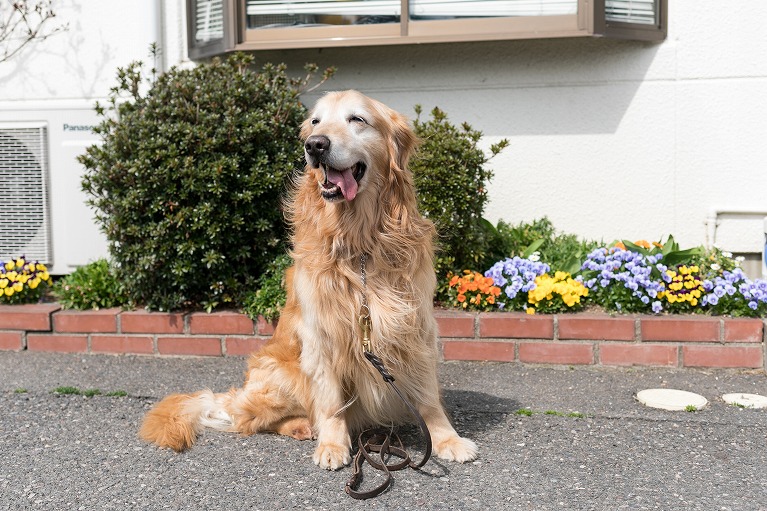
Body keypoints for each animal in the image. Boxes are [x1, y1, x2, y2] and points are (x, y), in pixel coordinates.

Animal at [140, 90, 476, 470]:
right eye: (315, 122)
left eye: (357, 119)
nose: (314, 145)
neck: (359, 241)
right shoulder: (322, 334)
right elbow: (330, 402)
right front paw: (332, 445)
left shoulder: (415, 325)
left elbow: (429, 398)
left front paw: (447, 439)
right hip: (280, 375)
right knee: (248, 420)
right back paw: (301, 426)